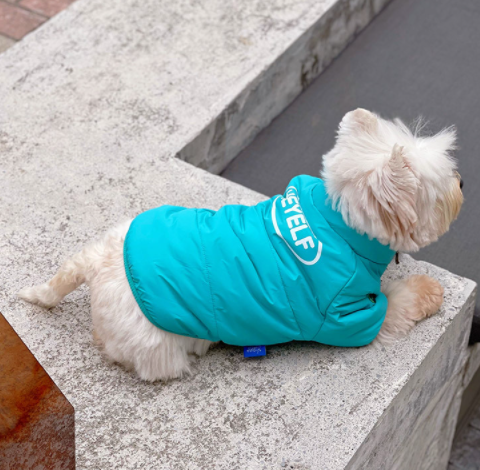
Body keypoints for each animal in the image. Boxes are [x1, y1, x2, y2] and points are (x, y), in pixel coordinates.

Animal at [18, 109, 464, 381]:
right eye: (443, 186)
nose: (463, 182)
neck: (336, 223)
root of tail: (99, 263)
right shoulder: (349, 318)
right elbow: (399, 303)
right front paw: (428, 290)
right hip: (159, 345)